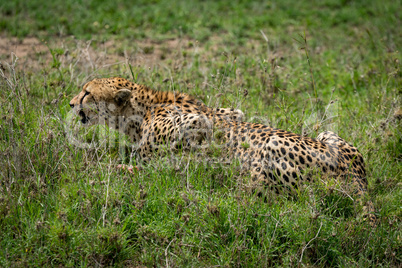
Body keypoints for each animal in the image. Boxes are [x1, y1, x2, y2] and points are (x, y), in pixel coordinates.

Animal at [70, 76, 376, 223]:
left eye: (87, 93)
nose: (71, 103)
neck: (139, 111)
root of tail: (356, 177)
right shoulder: (230, 112)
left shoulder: (196, 122)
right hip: (328, 135)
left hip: (273, 149)